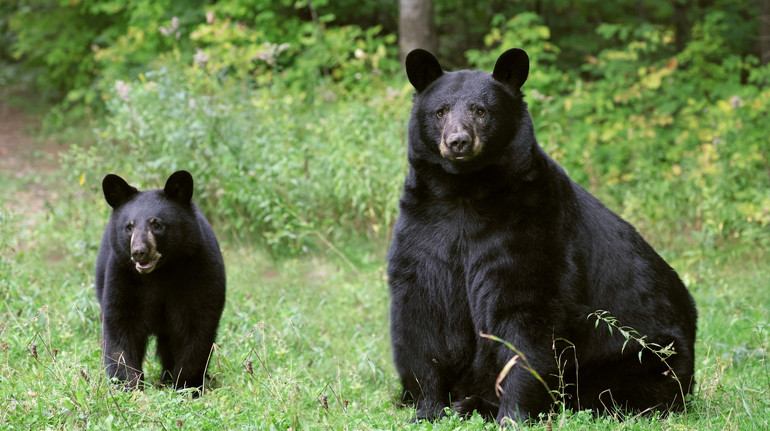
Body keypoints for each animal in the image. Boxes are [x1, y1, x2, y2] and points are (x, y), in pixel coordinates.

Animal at [94, 170, 224, 394]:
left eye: (156, 224)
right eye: (129, 227)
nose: (139, 251)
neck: (159, 273)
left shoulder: (199, 272)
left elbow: (196, 327)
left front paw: (186, 386)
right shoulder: (121, 275)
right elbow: (121, 327)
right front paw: (128, 385)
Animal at [388, 49, 692, 426]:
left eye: (480, 110)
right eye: (440, 111)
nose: (458, 142)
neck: (464, 192)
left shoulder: (533, 225)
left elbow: (526, 317)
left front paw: (513, 414)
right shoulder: (424, 226)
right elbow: (423, 315)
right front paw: (428, 408)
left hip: (642, 354)